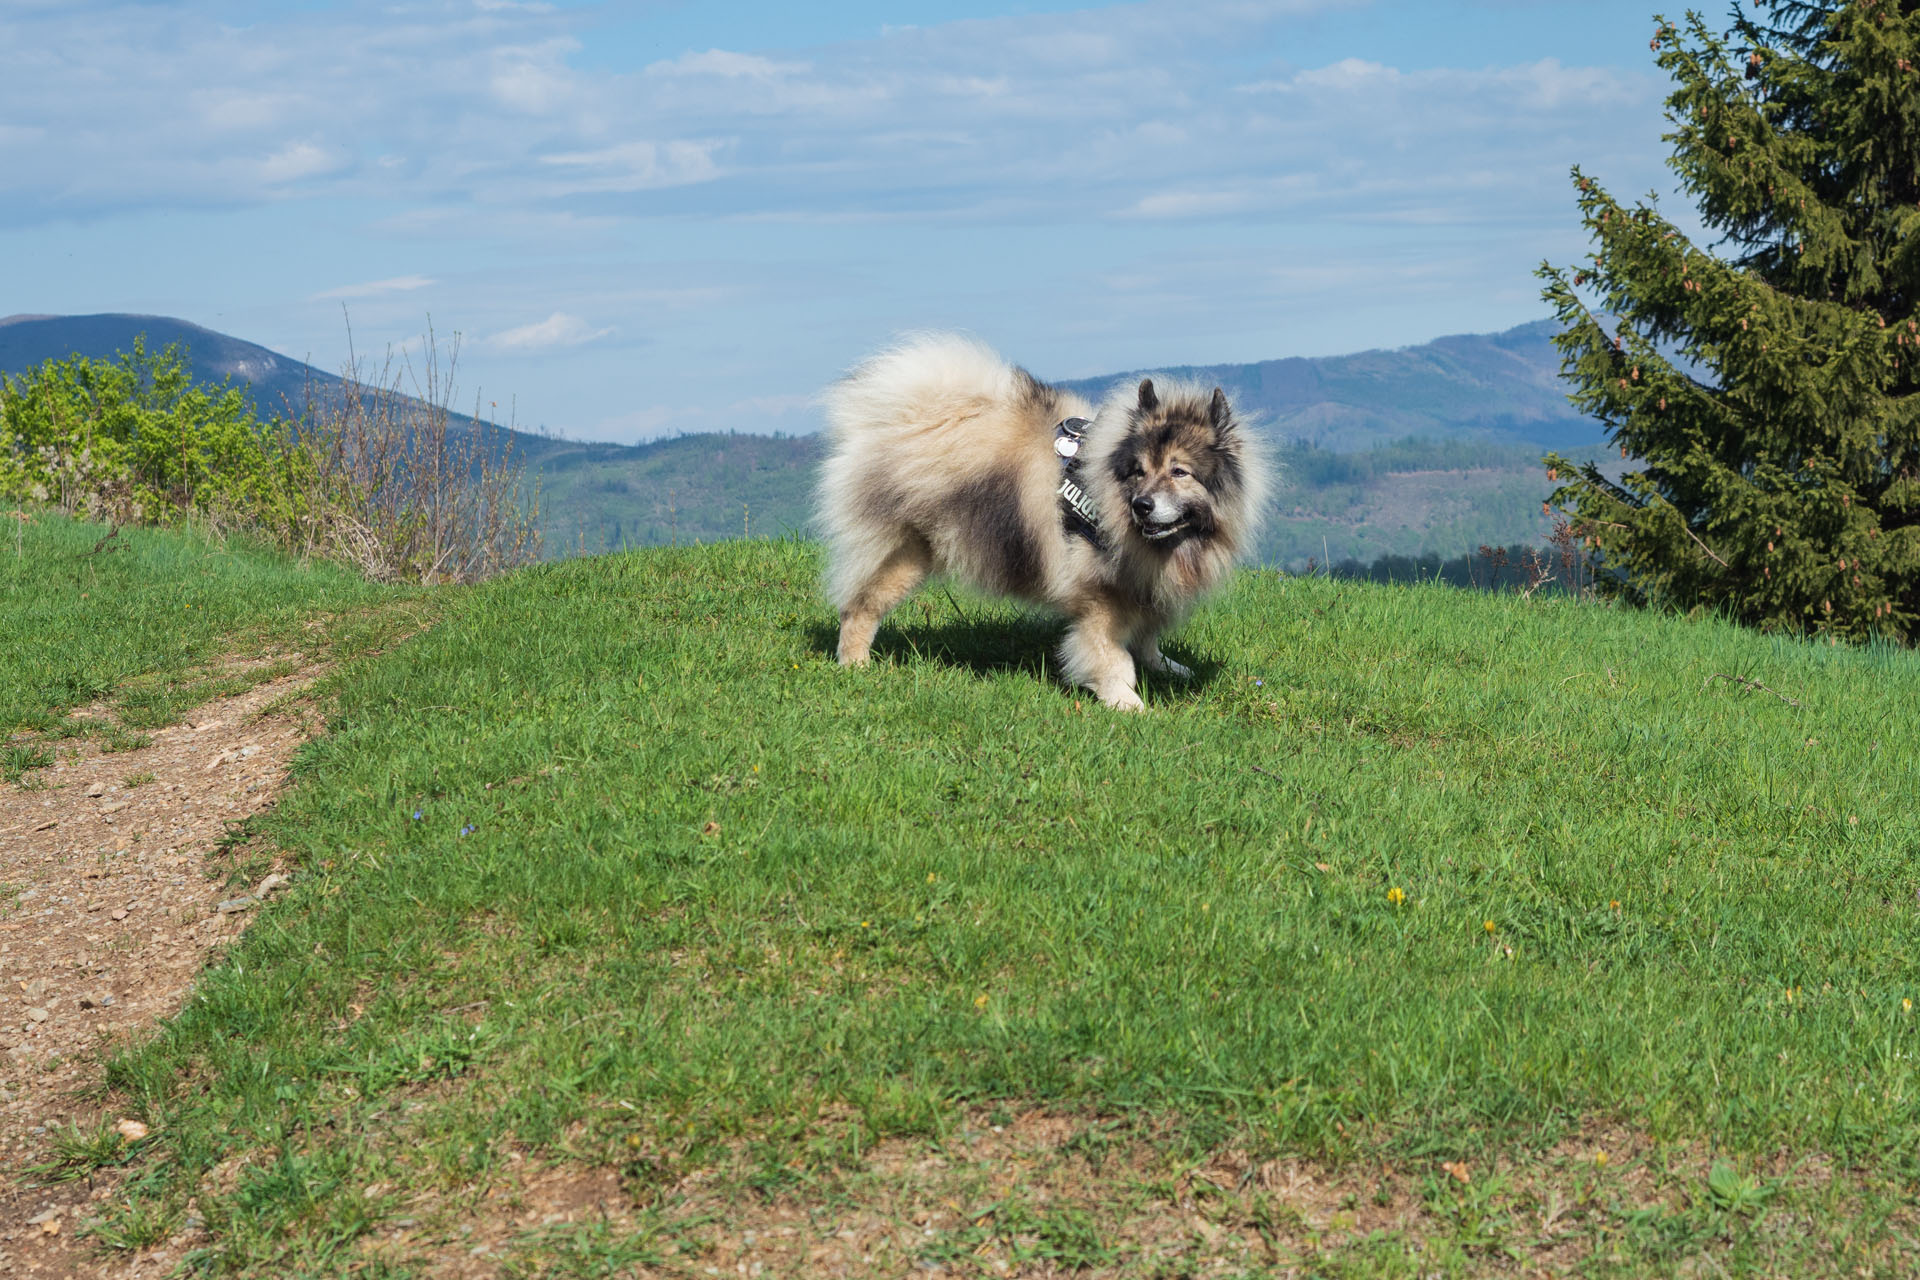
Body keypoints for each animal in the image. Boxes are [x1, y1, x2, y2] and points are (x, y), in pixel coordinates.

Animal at [817, 335, 1267, 710]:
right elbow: (1110, 655)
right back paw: (856, 666)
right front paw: (1126, 702)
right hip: (904, 553)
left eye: (1179, 472)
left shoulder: (1143, 585)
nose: (1142, 505)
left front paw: (1164, 666)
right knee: (858, 609)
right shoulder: (1101, 599)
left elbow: (1147, 637)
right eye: (1139, 471)